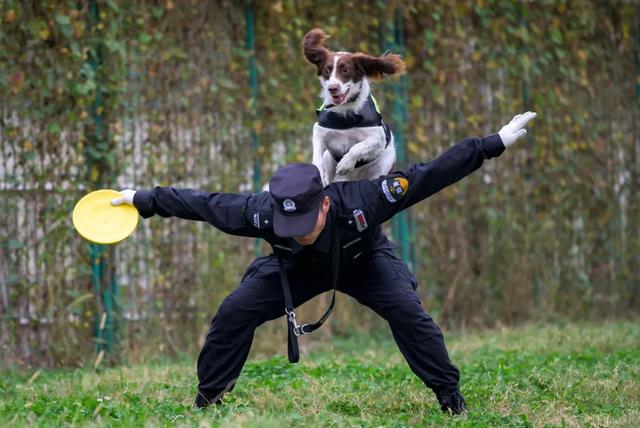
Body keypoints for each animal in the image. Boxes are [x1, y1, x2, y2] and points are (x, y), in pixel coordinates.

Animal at [302, 28, 402, 186]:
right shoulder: (319, 132)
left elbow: (357, 147)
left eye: (345, 70)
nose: (333, 88)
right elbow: (317, 155)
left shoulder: (378, 138)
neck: (345, 112)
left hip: (380, 168)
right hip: (329, 159)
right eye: (327, 70)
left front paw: (345, 164)